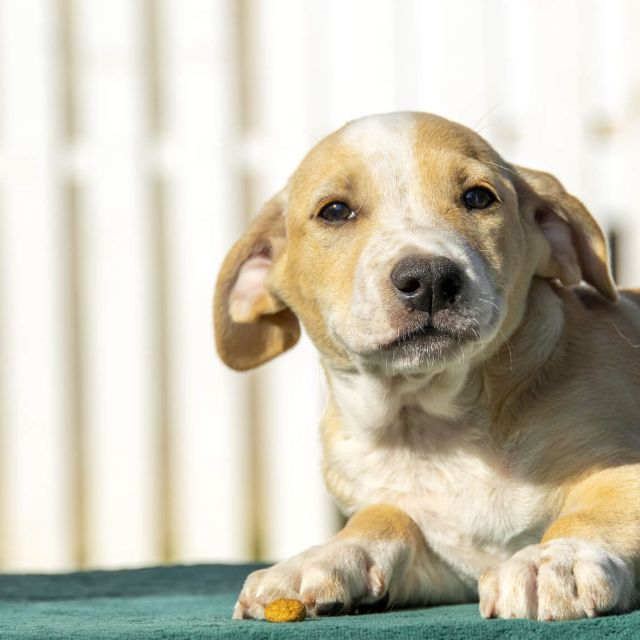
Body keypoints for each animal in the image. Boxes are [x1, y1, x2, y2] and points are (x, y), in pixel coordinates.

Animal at [215, 112, 640, 624]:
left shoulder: (621, 465)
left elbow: (601, 508)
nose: (431, 280)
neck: (432, 430)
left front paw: (555, 559)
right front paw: (316, 559)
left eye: (478, 197)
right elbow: (382, 517)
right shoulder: (444, 563)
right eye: (334, 211)